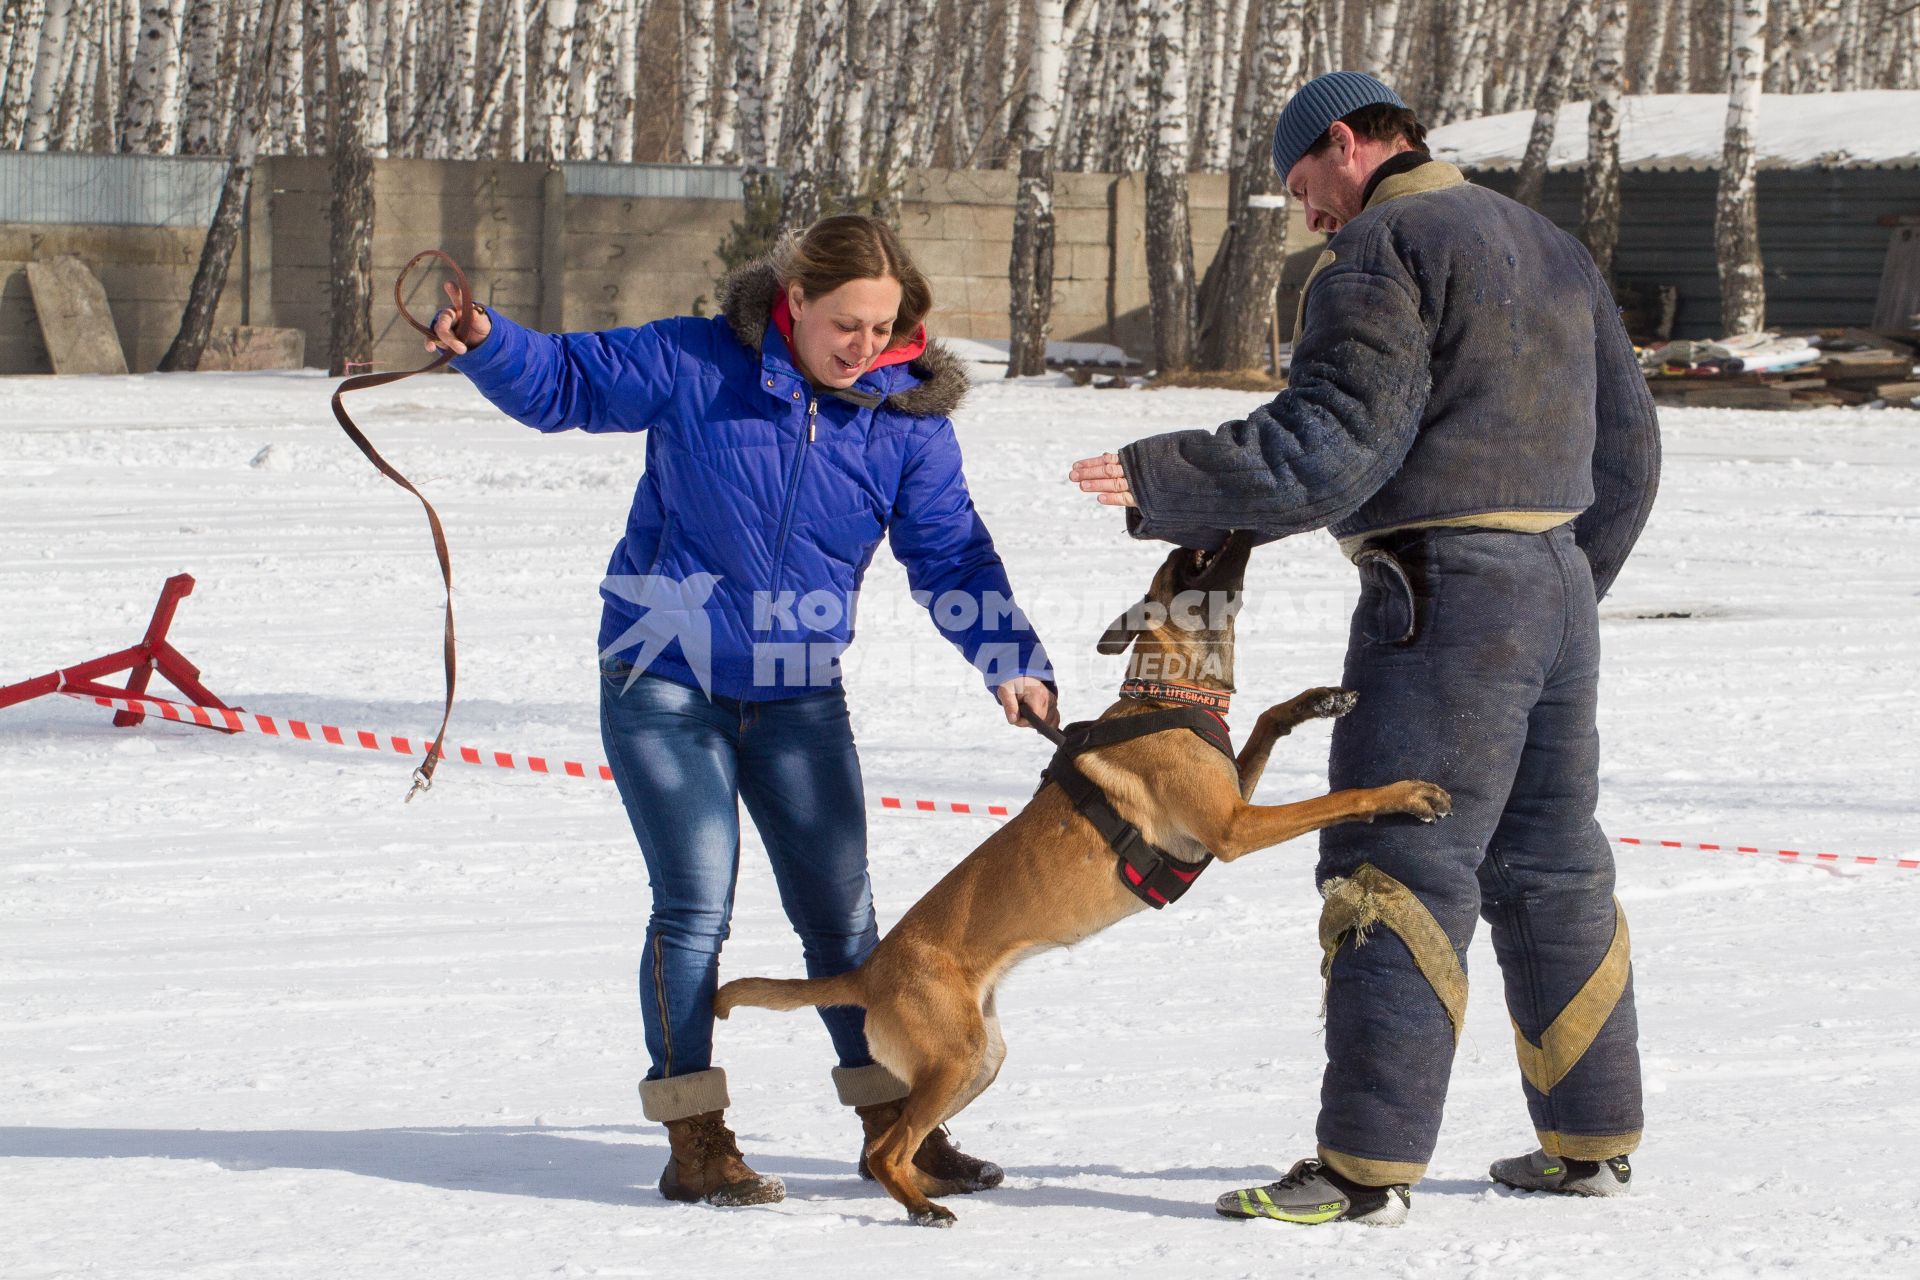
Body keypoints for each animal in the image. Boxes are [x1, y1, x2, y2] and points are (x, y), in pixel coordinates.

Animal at [714, 529, 1443, 1220]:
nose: (1238, 526)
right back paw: (922, 1210)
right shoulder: (1233, 828)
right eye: (1192, 561)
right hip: (955, 1057)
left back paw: (933, 1190)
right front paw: (1405, 793)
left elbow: (1263, 722)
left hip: (979, 1061)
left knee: (898, 1145)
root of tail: (867, 974)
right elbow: (1338, 798)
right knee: (888, 1149)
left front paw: (1319, 700)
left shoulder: (1230, 800)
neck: (1166, 695)